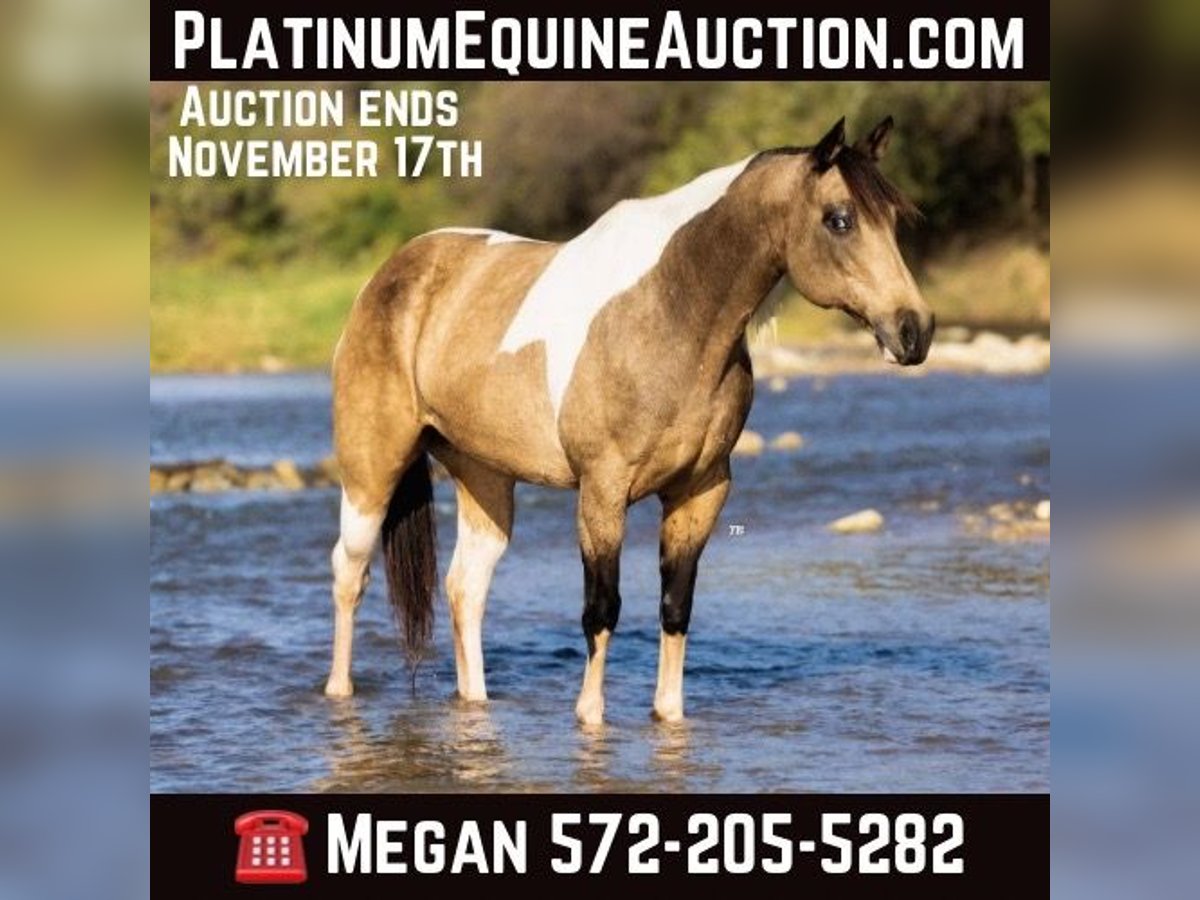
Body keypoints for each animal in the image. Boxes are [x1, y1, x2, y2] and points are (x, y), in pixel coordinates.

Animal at [322, 116, 933, 725]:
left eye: (895, 218)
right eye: (840, 219)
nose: (915, 330)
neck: (669, 312)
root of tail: (391, 274)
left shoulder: (700, 490)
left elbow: (675, 607)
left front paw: (669, 713)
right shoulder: (602, 490)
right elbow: (602, 608)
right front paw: (589, 715)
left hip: (484, 477)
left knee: (464, 588)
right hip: (372, 471)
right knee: (350, 572)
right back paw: (338, 690)